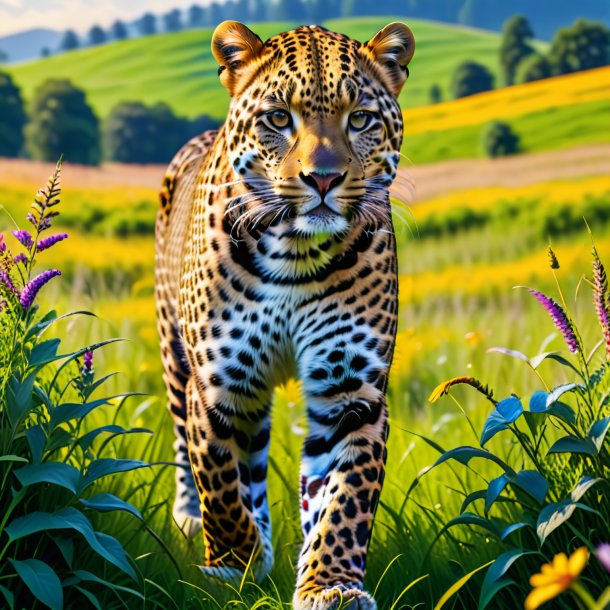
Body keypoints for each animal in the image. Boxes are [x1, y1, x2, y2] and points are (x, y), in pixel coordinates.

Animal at [153, 20, 414, 608]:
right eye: (278, 118)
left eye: (359, 118)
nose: (323, 179)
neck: (296, 253)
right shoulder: (220, 384)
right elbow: (219, 480)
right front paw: (235, 565)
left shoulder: (352, 394)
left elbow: (343, 500)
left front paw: (330, 584)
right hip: (174, 357)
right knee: (192, 451)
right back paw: (197, 524)